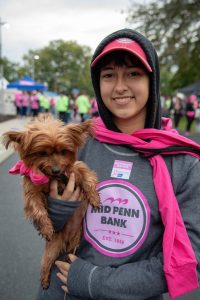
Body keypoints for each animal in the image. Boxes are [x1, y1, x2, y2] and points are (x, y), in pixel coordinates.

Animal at [2, 115, 100, 288]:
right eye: (42, 153)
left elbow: (87, 177)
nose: (56, 170)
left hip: (76, 242)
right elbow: (37, 209)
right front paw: (47, 228)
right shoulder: (32, 191)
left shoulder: (75, 168)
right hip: (52, 249)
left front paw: (94, 197)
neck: (53, 177)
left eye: (63, 151)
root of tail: (66, 241)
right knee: (46, 263)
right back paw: (45, 280)